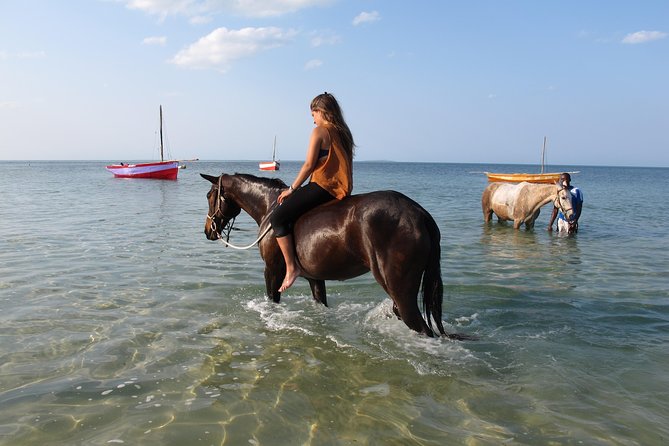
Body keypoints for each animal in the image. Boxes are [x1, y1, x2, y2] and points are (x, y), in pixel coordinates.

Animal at [200, 172, 464, 340]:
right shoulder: (315, 278)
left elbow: (272, 301)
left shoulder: (272, 271)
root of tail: (420, 213)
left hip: (400, 290)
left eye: (209, 196)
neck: (270, 206)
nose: (208, 231)